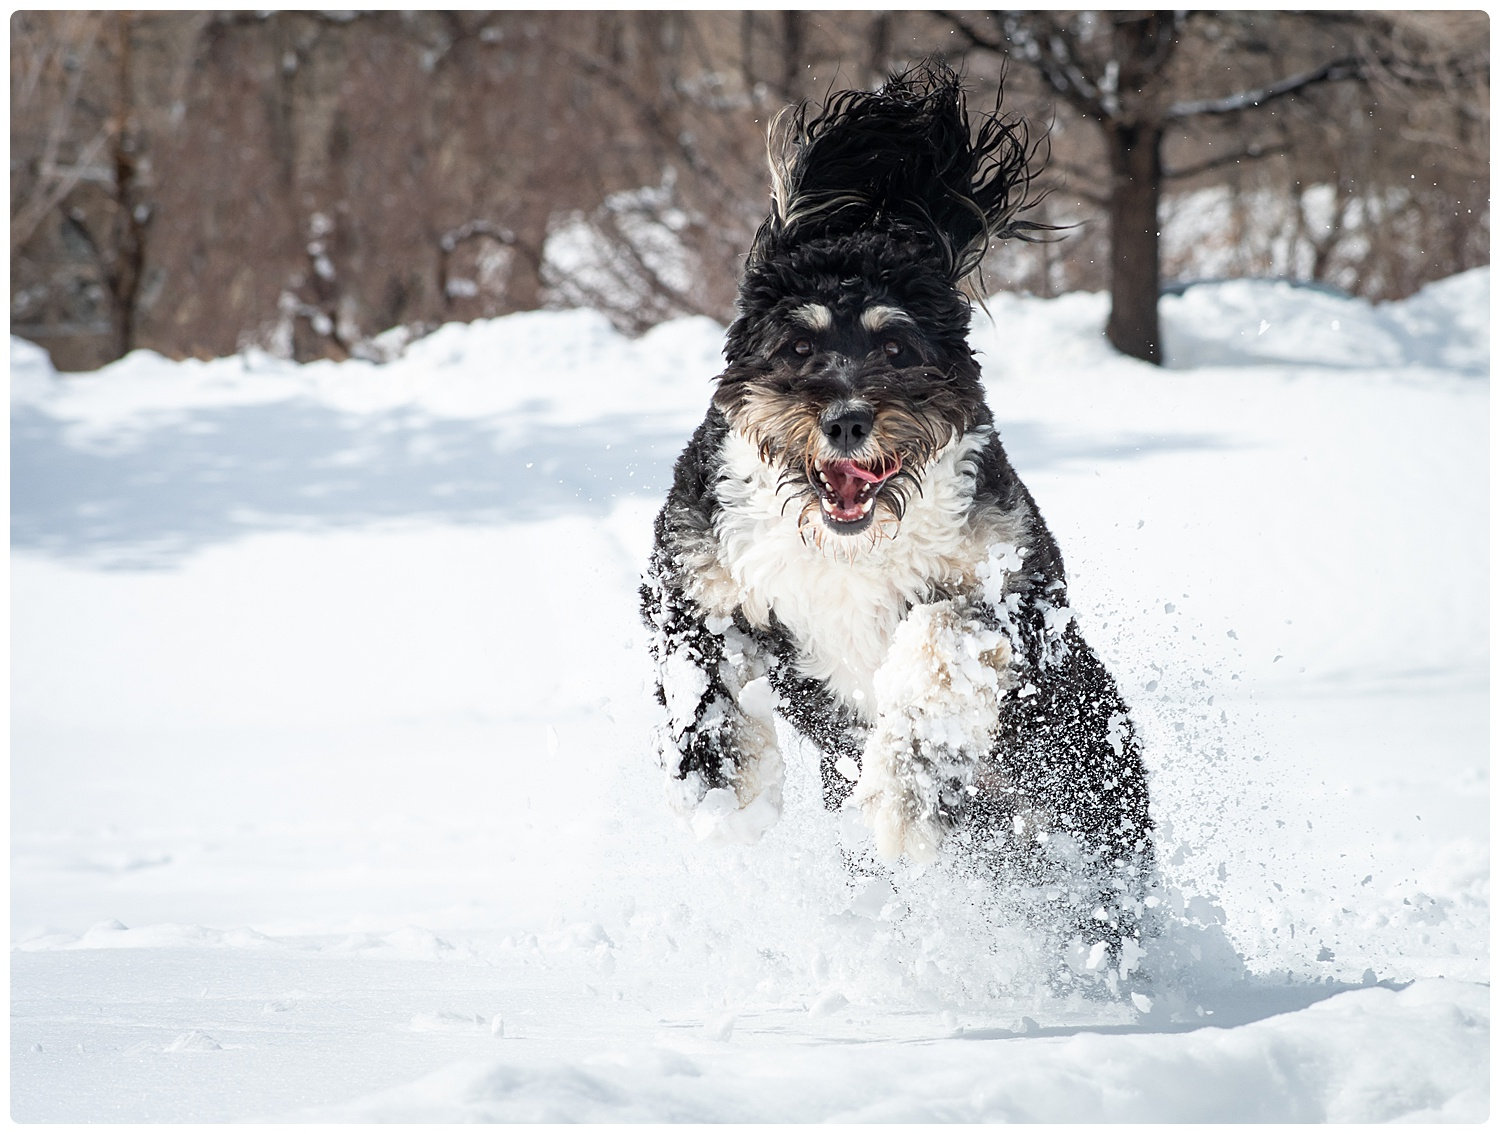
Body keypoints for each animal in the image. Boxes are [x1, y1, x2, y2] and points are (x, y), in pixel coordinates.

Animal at [639, 61, 1152, 966]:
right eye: (797, 344)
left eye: (894, 345)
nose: (846, 419)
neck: (847, 549)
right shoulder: (692, 573)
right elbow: (693, 669)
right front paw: (718, 782)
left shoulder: (1015, 591)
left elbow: (936, 640)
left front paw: (903, 792)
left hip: (1097, 812)